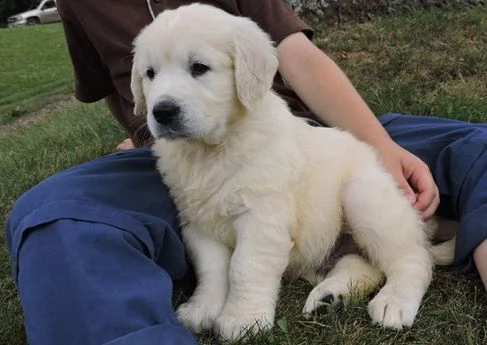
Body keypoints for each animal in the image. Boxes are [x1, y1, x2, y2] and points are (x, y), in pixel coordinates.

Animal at [130, 3, 454, 342]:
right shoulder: (198, 221)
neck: (211, 150)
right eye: (149, 74)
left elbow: (244, 266)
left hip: (365, 198)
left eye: (199, 68)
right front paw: (203, 309)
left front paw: (243, 320)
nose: (162, 111)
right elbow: (212, 268)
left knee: (415, 258)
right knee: (364, 264)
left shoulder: (261, 216)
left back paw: (394, 301)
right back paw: (330, 297)